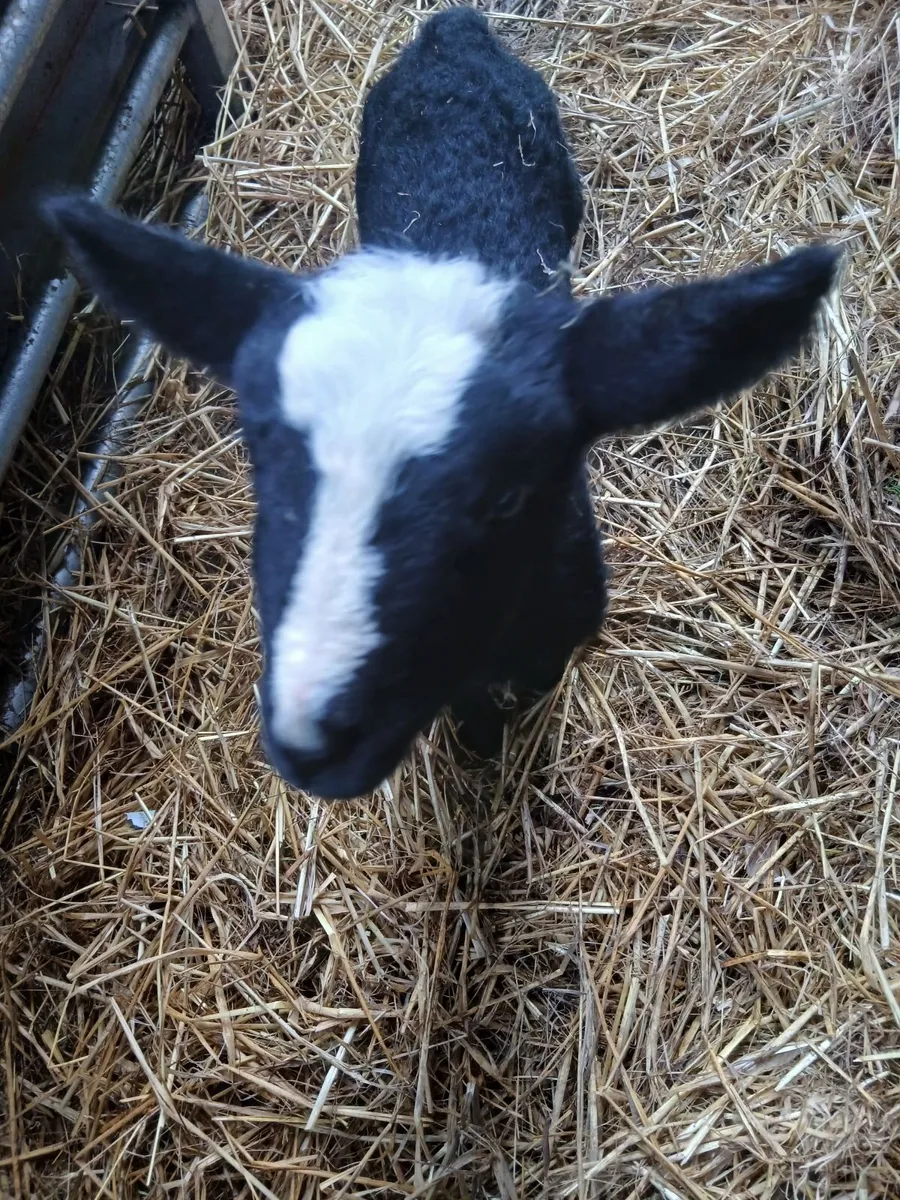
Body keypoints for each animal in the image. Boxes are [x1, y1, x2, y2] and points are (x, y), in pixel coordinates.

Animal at [43, 7, 839, 801]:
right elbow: (473, 703)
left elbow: (537, 677)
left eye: (508, 494)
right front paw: (481, 743)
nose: (312, 743)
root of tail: (451, 30)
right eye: (257, 458)